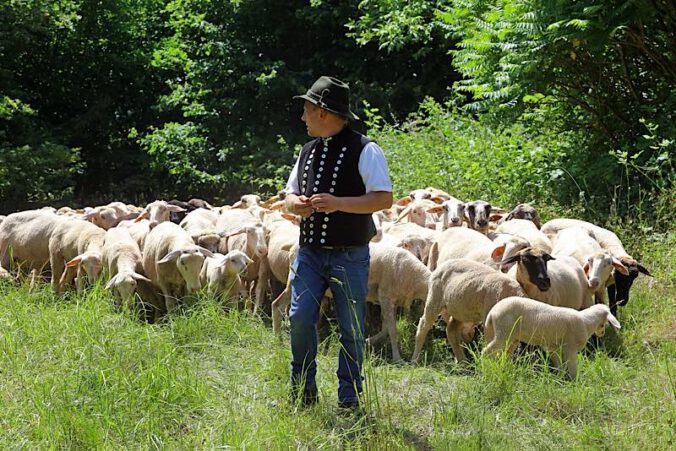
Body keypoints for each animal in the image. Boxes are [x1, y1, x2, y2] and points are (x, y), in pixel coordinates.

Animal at [484, 298, 620, 380]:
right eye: (603, 324)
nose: (602, 333)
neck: (587, 322)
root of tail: (491, 313)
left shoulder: (554, 347)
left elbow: (560, 365)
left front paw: (559, 379)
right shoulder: (570, 347)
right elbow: (572, 367)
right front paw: (574, 381)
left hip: (508, 336)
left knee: (504, 354)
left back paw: (507, 369)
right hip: (504, 332)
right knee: (487, 351)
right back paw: (487, 367)